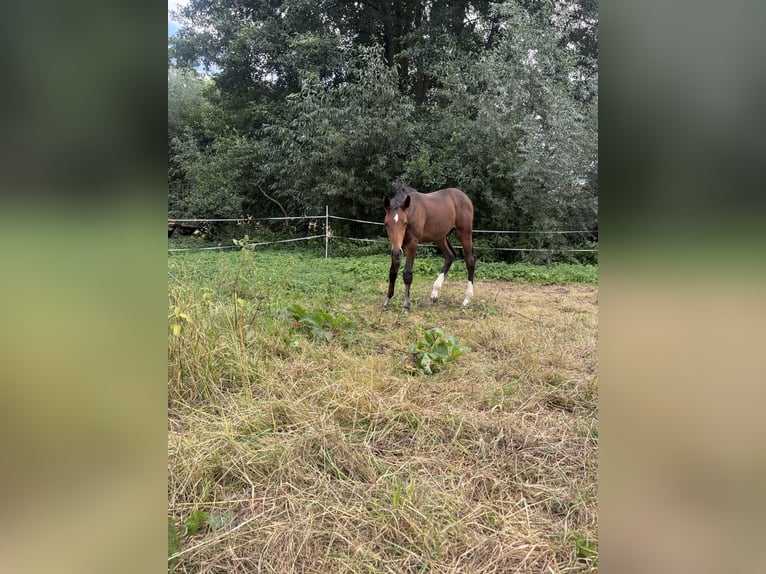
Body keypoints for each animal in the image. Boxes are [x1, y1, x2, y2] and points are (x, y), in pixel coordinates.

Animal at [383, 183, 476, 314]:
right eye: (386, 224)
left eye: (405, 223)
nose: (396, 252)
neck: (410, 211)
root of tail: (464, 196)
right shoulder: (398, 247)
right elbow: (392, 272)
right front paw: (387, 301)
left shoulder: (412, 244)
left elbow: (407, 274)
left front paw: (406, 306)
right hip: (440, 237)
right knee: (450, 256)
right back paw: (434, 293)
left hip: (464, 233)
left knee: (470, 260)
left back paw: (467, 299)